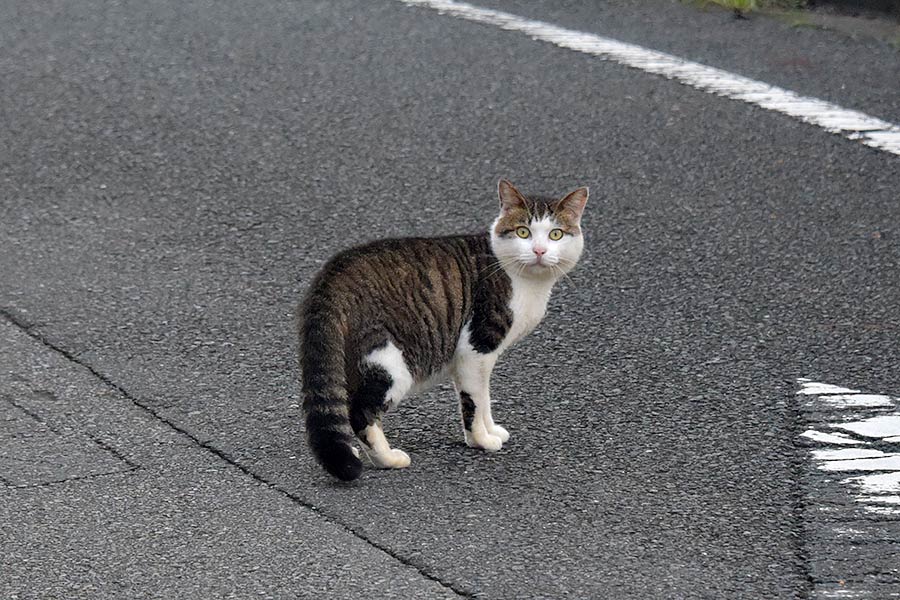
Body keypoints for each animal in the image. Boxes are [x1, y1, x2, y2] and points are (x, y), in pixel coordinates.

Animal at [298, 179, 588, 482]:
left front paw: (491, 430)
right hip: (390, 361)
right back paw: (387, 458)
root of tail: (333, 273)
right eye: (523, 232)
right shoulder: (477, 347)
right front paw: (481, 440)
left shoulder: (474, 359)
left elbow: (483, 398)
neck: (527, 282)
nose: (539, 251)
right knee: (360, 412)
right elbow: (474, 402)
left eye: (556, 234)